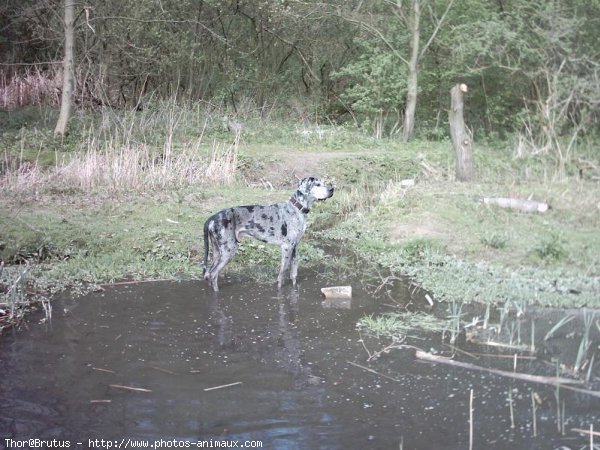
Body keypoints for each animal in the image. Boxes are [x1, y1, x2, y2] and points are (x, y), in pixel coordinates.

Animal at [202, 177, 332, 292]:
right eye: (317, 184)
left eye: (324, 182)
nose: (332, 189)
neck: (296, 208)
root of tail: (212, 218)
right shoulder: (286, 247)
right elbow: (282, 274)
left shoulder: (294, 247)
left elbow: (294, 274)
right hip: (228, 251)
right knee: (213, 274)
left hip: (218, 252)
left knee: (208, 274)